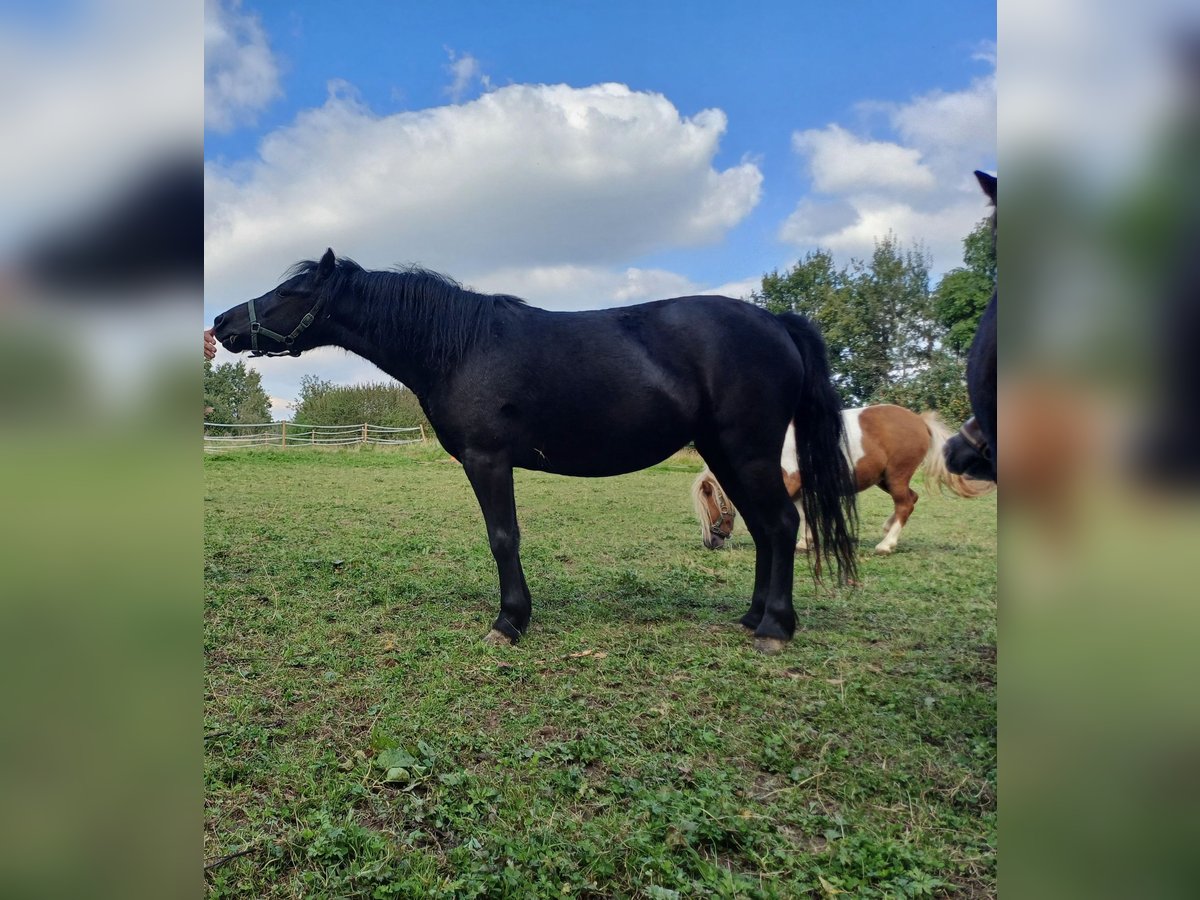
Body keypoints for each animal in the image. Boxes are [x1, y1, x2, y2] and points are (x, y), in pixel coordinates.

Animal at [696, 403, 993, 556]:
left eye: (711, 507)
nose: (710, 543)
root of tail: (919, 421)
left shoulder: (789, 484)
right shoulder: (798, 489)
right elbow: (804, 515)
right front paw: (805, 543)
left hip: (896, 476)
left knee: (905, 503)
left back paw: (886, 545)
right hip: (885, 479)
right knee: (911, 499)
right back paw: (888, 530)